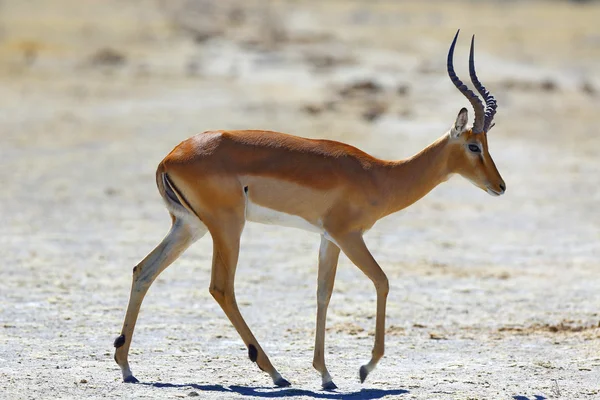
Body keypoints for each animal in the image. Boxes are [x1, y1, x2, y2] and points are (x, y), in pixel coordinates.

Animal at [113, 30, 506, 388]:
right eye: (473, 145)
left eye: (487, 143)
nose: (500, 186)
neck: (379, 175)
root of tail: (169, 157)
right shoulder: (349, 236)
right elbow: (382, 281)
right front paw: (364, 369)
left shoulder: (328, 238)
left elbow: (323, 293)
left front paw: (326, 375)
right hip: (227, 227)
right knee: (221, 287)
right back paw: (274, 373)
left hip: (189, 226)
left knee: (143, 270)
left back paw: (127, 367)